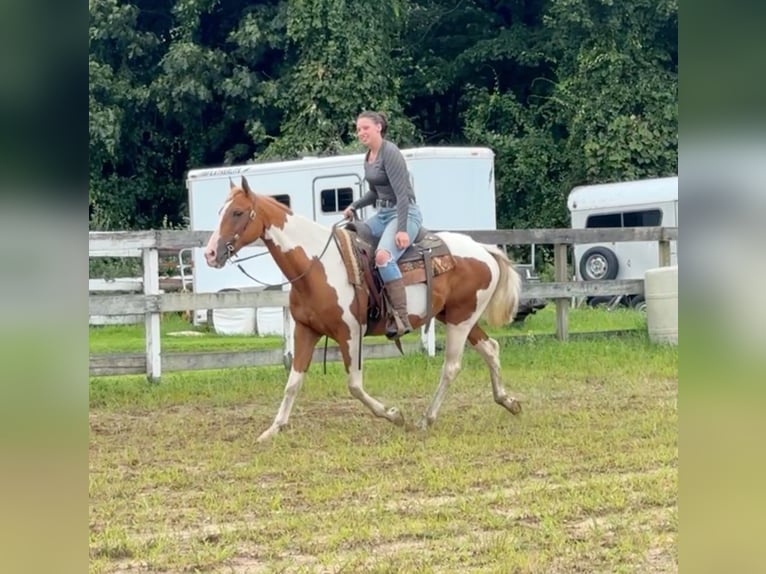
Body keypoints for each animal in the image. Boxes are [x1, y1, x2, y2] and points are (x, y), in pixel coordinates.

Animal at [207, 178, 524, 444]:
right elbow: (293, 383)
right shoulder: (305, 330)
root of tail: (483, 250)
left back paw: (426, 419)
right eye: (220, 211)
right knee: (491, 349)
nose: (210, 253)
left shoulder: (350, 333)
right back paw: (509, 402)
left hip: (461, 319)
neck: (317, 265)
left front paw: (395, 416)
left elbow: (355, 386)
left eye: (237, 212)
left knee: (451, 367)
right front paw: (273, 429)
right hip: (456, 317)